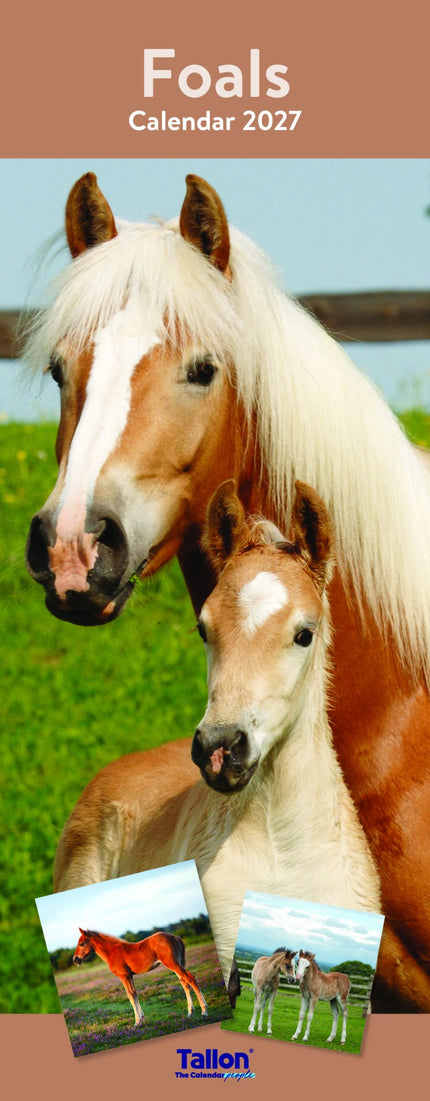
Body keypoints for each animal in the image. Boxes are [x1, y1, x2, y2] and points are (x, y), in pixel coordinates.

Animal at [72, 927, 207, 1026]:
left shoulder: (124, 975)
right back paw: (190, 1013)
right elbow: (134, 993)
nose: (75, 959)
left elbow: (130, 995)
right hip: (176, 964)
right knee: (184, 982)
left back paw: (204, 1011)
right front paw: (142, 1019)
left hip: (172, 963)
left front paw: (137, 1022)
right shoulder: (130, 975)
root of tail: (175, 937)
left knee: (190, 978)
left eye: (82, 943)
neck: (112, 952)